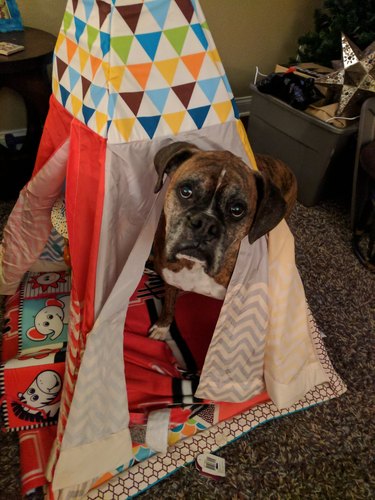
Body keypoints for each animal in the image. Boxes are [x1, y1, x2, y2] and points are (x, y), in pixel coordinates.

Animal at [149, 143, 296, 342]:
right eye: (186, 191)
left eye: (237, 209)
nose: (205, 224)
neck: (194, 266)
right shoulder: (171, 278)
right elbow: (169, 306)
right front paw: (162, 326)